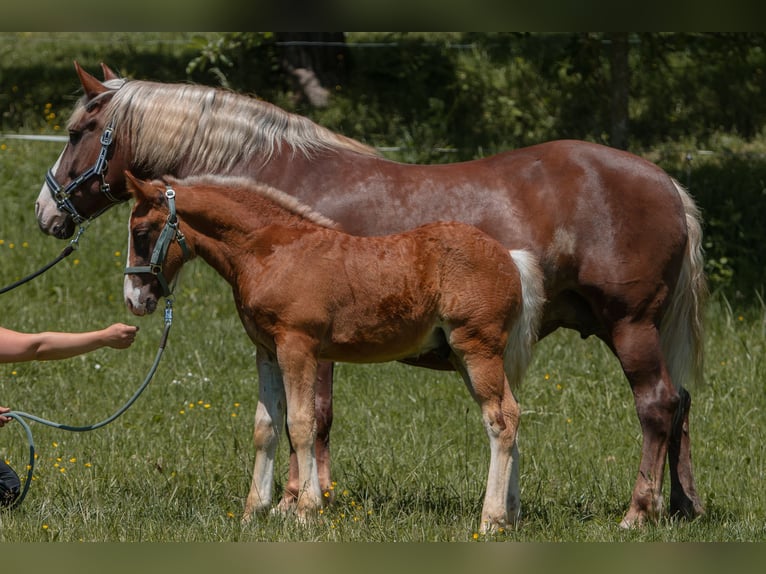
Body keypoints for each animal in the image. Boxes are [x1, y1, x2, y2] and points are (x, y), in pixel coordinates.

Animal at [123, 173, 544, 532]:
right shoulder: (267, 351)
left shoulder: (297, 346)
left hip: (477, 350)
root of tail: (510, 257)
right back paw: (512, 516)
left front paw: (306, 511)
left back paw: (491, 520)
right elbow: (266, 427)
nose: (134, 300)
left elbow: (301, 424)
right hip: (464, 357)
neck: (269, 249)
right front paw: (253, 511)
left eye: (141, 232)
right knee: (512, 415)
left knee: (499, 422)